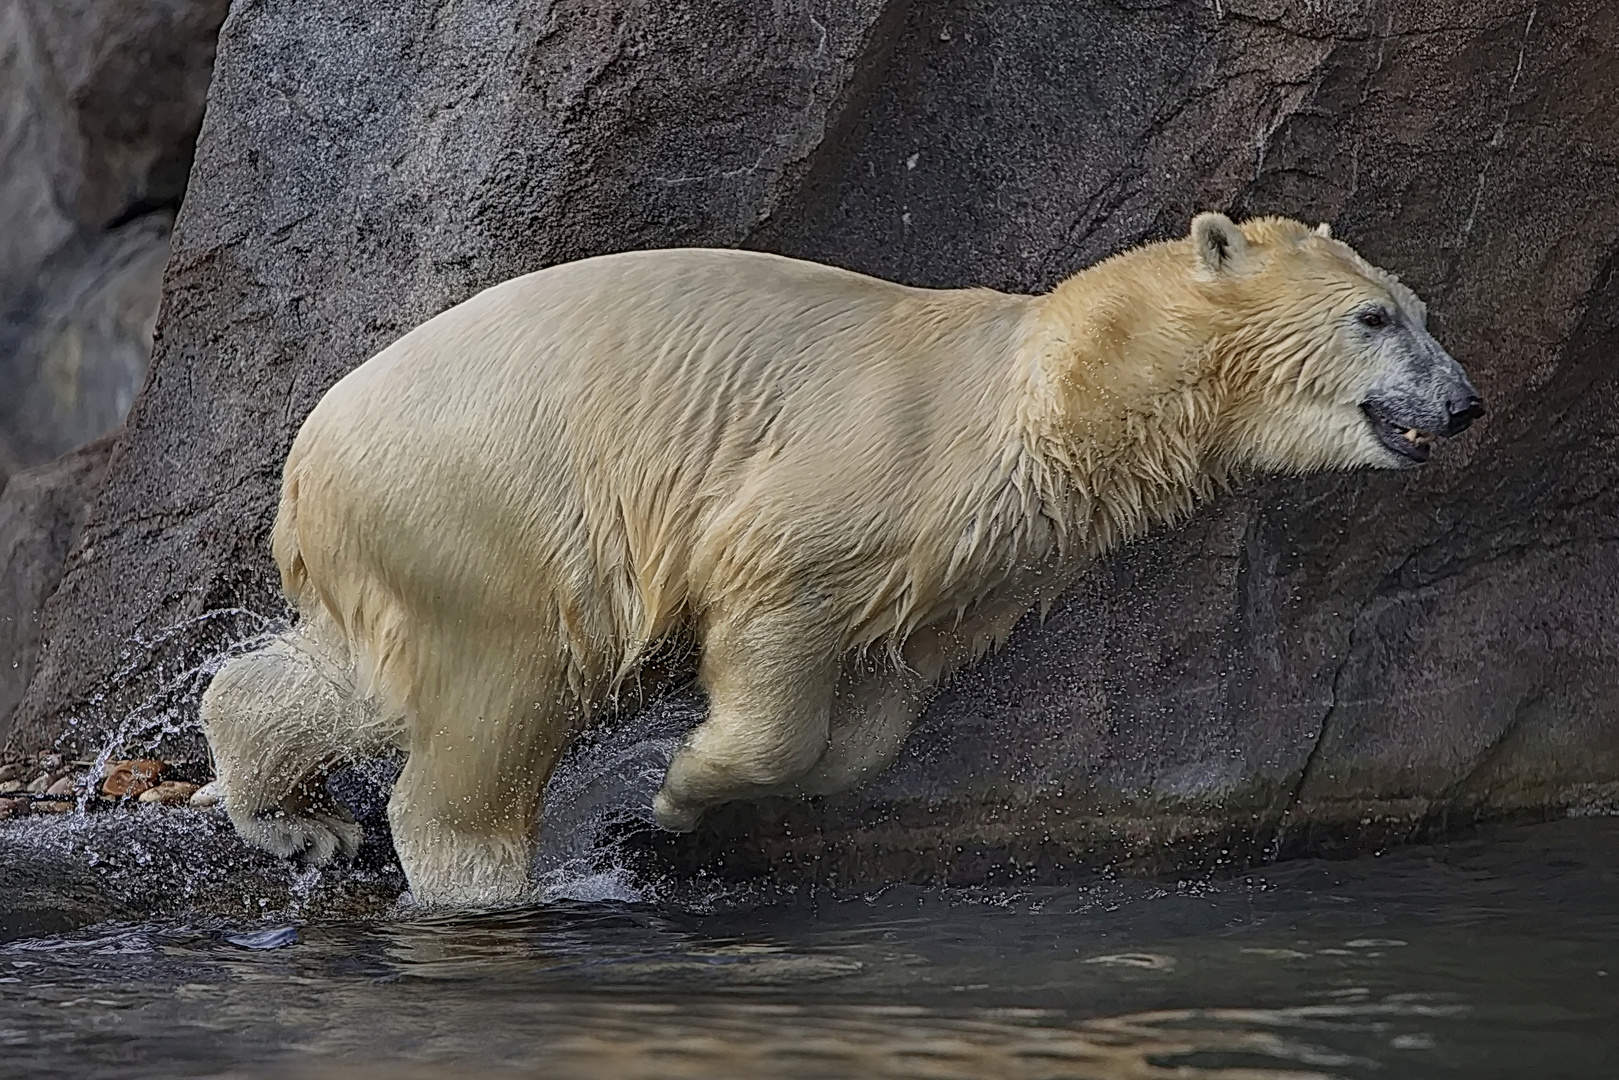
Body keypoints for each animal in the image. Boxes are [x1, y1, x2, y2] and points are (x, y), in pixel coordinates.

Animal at [199, 215, 1483, 906]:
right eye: (1374, 319)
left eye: (1419, 310)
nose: (1464, 403)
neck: (1035, 398)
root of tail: (308, 462)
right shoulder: (855, 478)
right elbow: (774, 613)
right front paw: (674, 788)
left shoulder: (970, 566)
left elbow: (877, 707)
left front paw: (704, 799)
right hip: (496, 502)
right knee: (499, 694)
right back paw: (479, 882)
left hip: (414, 536)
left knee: (352, 676)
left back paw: (290, 816)